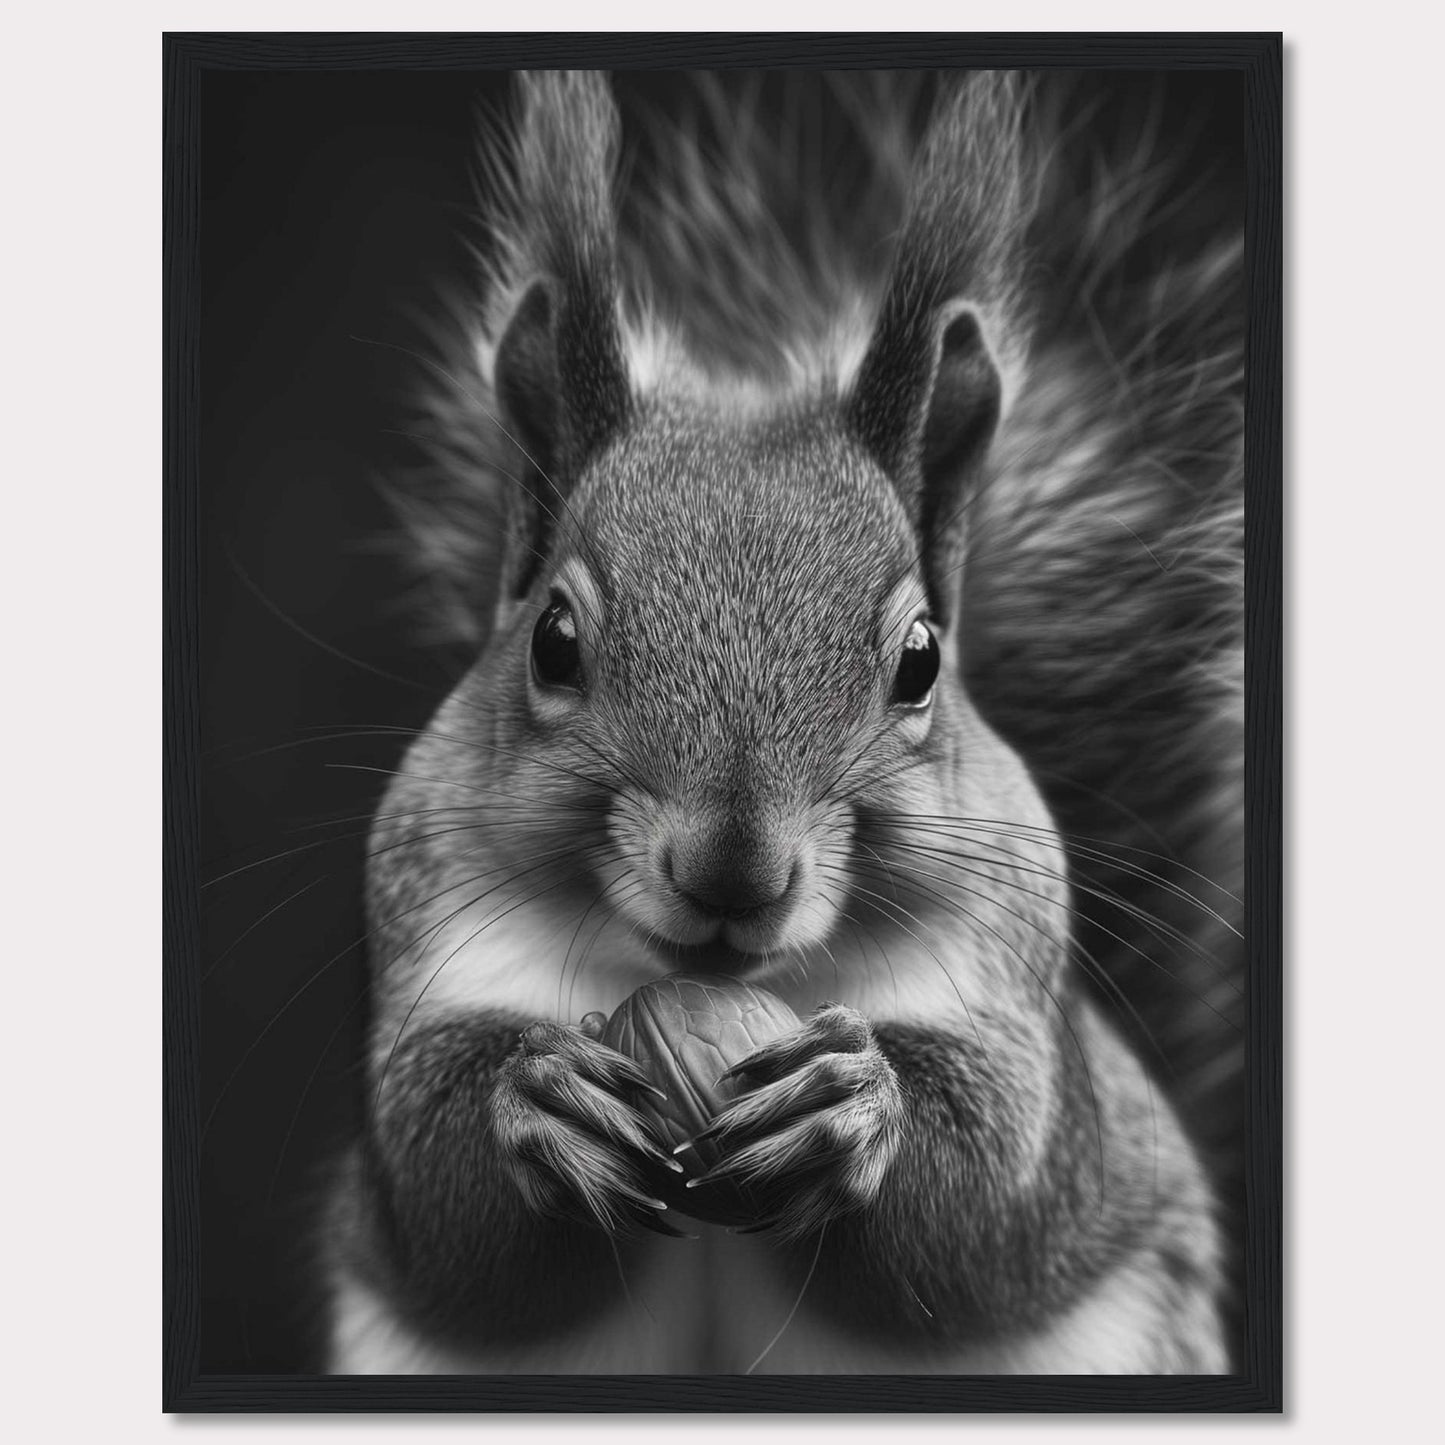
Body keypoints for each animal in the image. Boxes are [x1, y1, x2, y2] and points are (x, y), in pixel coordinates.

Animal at [325, 70, 1242, 1375]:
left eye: (918, 661)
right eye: (551, 639)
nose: (733, 873)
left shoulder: (1018, 1014)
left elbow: (985, 1213)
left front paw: (857, 1110)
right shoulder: (426, 943)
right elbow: (445, 1215)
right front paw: (537, 1100)